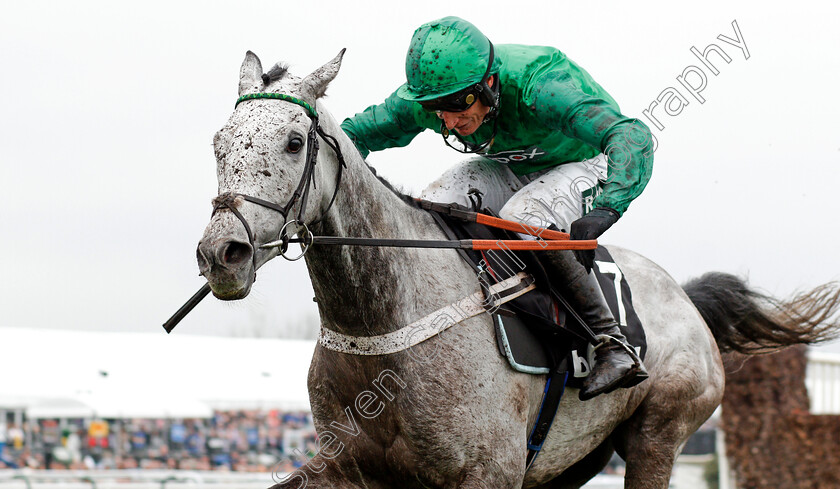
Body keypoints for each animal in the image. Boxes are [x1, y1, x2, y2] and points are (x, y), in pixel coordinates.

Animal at [199, 51, 840, 486]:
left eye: (293, 141)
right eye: (219, 142)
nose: (221, 253)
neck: (383, 323)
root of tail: (683, 297)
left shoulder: (489, 472)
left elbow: (621, 129)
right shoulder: (345, 469)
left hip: (660, 434)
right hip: (577, 457)